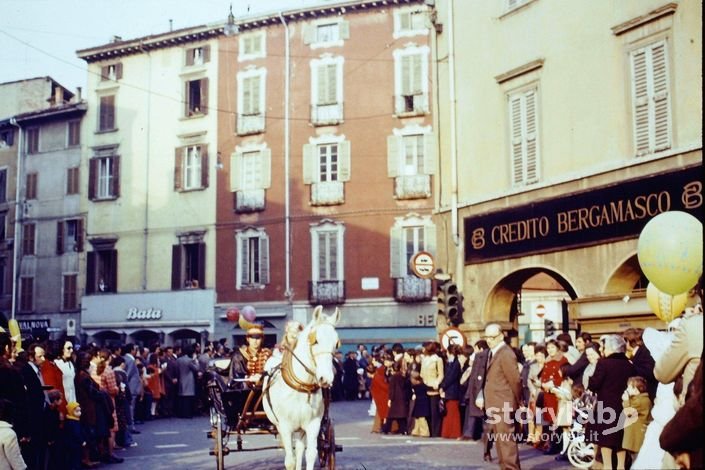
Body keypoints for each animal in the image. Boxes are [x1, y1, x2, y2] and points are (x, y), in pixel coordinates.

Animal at [264, 306, 340, 470]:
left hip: (301, 428)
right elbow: (290, 461)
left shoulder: (313, 424)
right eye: (315, 341)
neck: (301, 387)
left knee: (299, 449)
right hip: (280, 425)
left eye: (336, 343)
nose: (326, 378)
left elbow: (310, 454)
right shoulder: (285, 426)